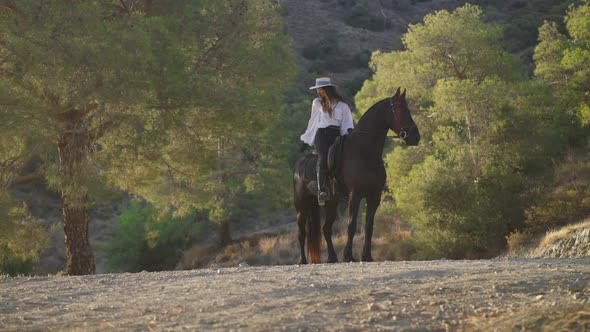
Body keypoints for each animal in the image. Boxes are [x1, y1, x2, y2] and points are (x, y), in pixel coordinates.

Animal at [294, 87, 418, 264]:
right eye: (401, 110)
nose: (416, 137)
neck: (364, 153)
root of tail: (299, 164)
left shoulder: (374, 196)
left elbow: (369, 226)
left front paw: (367, 256)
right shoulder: (355, 195)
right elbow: (351, 225)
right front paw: (349, 256)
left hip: (332, 202)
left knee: (326, 229)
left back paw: (332, 258)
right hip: (301, 205)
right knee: (301, 232)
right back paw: (302, 261)